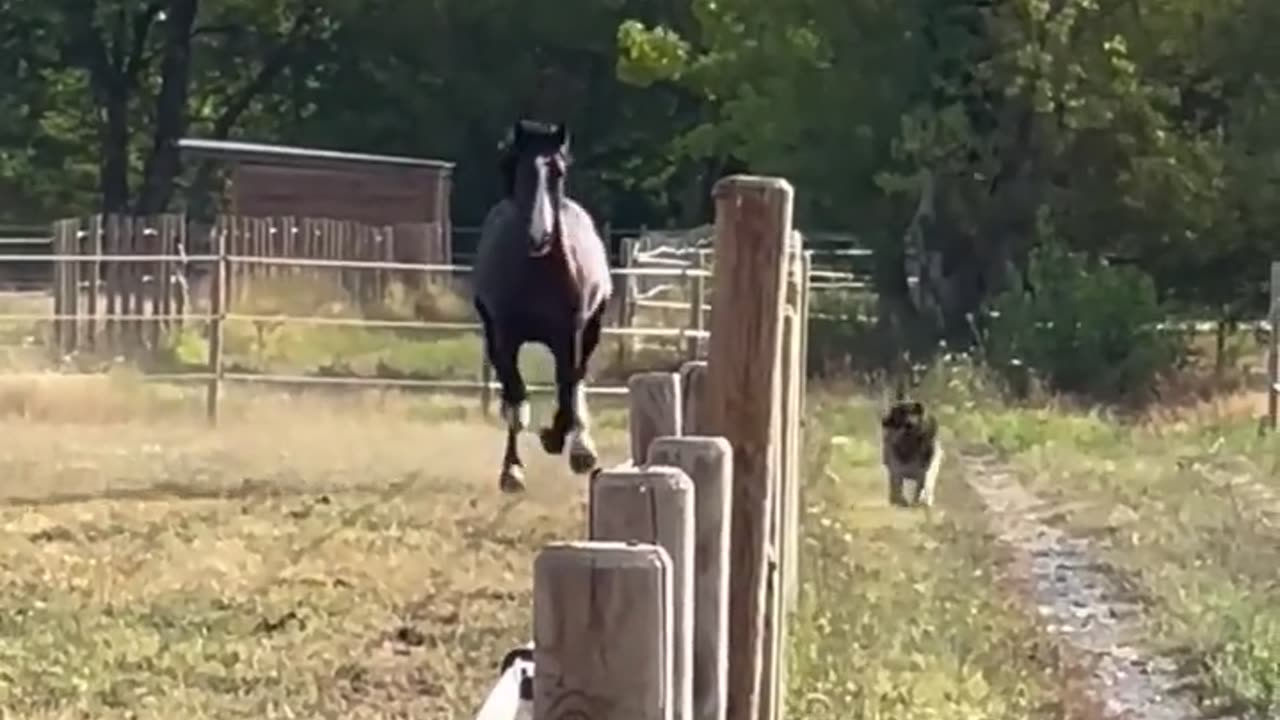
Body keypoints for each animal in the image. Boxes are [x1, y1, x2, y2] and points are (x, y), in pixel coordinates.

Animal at [471, 120, 614, 489]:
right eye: (514, 167)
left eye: (558, 171)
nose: (541, 236)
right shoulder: (503, 339)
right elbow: (516, 397)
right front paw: (512, 470)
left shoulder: (571, 335)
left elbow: (567, 386)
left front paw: (558, 439)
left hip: (592, 329)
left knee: (577, 383)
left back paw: (581, 446)